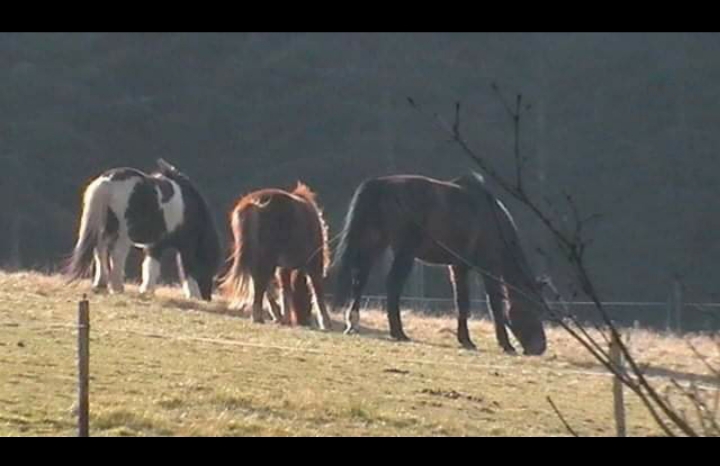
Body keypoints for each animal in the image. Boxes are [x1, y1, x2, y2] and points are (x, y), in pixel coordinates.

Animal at [65, 159, 222, 301]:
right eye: (209, 267)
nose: (207, 297)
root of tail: (107, 181)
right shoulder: (185, 246)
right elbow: (186, 268)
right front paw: (193, 294)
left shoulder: (156, 245)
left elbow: (150, 266)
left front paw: (147, 290)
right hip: (122, 234)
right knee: (117, 255)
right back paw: (117, 287)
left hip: (105, 228)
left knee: (99, 250)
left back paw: (101, 284)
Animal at [218, 182, 331, 329]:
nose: (303, 321)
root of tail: (252, 203)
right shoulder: (313, 265)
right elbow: (316, 291)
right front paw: (326, 322)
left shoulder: (283, 267)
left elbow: (284, 289)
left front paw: (283, 317)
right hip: (267, 259)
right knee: (260, 284)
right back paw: (258, 317)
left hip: (257, 257)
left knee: (260, 283)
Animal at [332, 173, 547, 355]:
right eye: (531, 308)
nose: (540, 348)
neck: (492, 219)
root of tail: (381, 184)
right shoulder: (489, 267)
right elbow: (495, 304)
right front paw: (506, 345)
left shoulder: (458, 267)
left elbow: (462, 303)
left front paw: (466, 340)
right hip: (404, 252)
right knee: (392, 284)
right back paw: (398, 332)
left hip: (374, 242)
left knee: (359, 280)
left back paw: (353, 324)